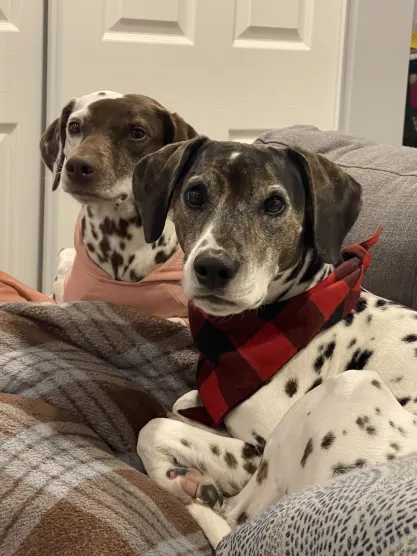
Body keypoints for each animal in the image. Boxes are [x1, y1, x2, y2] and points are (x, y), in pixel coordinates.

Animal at [133, 136, 417, 548]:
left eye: (274, 203)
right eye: (195, 194)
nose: (212, 267)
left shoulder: (257, 447)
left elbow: (154, 427)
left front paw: (175, 476)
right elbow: (181, 404)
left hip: (347, 388)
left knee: (235, 513)